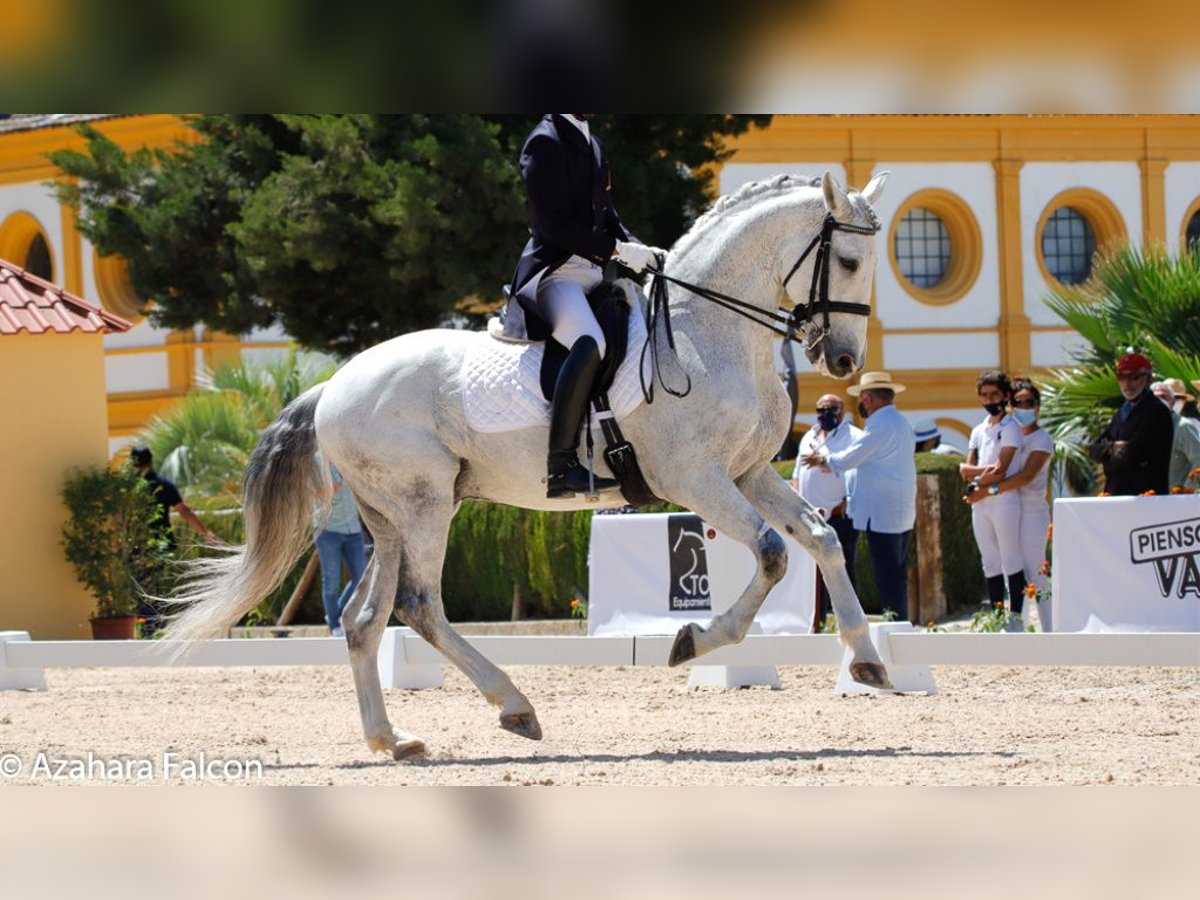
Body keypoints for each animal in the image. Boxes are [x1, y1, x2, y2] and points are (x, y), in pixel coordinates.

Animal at [174, 170, 897, 763]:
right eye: (848, 261)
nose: (841, 359)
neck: (707, 333)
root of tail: (332, 387)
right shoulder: (695, 478)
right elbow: (773, 554)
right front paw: (693, 640)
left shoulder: (748, 474)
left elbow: (823, 539)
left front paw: (868, 664)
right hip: (423, 503)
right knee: (419, 604)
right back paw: (515, 707)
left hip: (390, 516)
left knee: (363, 618)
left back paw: (393, 739)